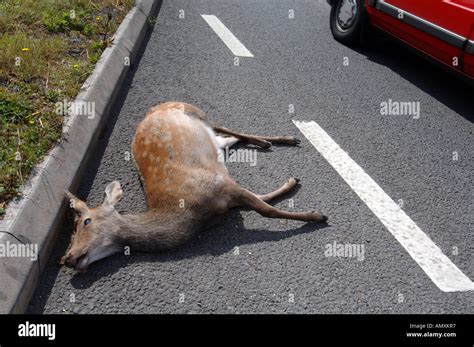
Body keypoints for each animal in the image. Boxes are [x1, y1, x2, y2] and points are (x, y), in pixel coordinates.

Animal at [65, 102, 328, 270]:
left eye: (85, 222)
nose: (67, 258)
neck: (192, 215)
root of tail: (155, 107)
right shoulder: (227, 190)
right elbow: (264, 200)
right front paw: (292, 183)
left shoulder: (222, 185)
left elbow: (267, 210)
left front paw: (317, 215)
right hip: (213, 137)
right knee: (228, 137)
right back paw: (268, 142)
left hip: (195, 111)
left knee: (221, 125)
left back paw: (284, 139)